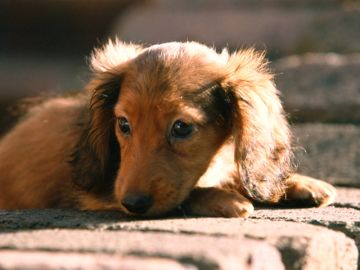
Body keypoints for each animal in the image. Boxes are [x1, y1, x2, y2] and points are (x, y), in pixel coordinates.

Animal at [0, 40, 338, 217]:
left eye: (181, 128)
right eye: (123, 123)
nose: (133, 205)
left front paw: (298, 183)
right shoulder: (98, 195)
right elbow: (186, 195)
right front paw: (224, 198)